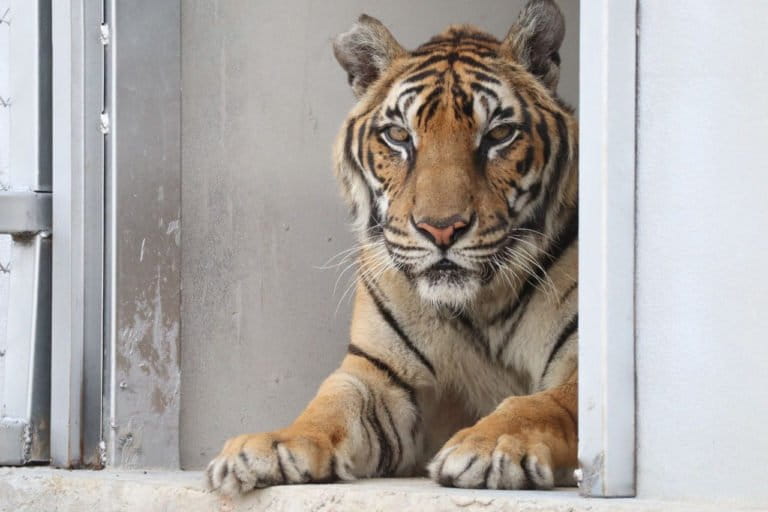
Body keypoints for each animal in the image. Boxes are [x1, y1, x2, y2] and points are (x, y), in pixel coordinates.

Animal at [207, 1, 580, 496]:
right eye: (399, 137)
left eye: (499, 135)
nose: (441, 229)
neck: (480, 306)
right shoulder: (381, 373)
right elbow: (330, 403)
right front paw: (268, 447)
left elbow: (545, 403)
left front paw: (489, 447)